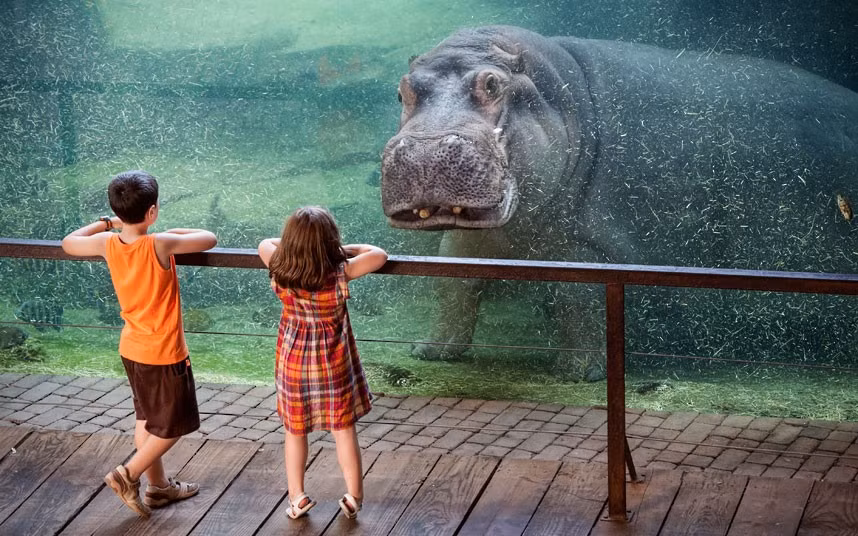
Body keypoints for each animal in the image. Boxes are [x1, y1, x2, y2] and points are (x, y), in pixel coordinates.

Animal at [381, 26, 858, 379]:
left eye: (493, 83)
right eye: (403, 90)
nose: (425, 150)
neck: (571, 98)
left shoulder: (587, 244)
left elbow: (576, 299)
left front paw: (576, 373)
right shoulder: (480, 237)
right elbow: (453, 283)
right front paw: (429, 351)